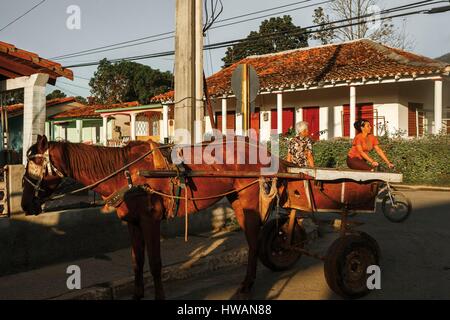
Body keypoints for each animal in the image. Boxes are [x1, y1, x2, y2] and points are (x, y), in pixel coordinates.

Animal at [21, 134, 286, 298]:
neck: (127, 173)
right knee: (253, 240)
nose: (25, 204)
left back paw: (248, 284)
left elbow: (155, 264)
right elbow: (137, 261)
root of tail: (260, 151)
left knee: (254, 242)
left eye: (35, 164)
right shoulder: (133, 223)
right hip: (237, 200)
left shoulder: (151, 221)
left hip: (249, 199)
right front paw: (138, 294)